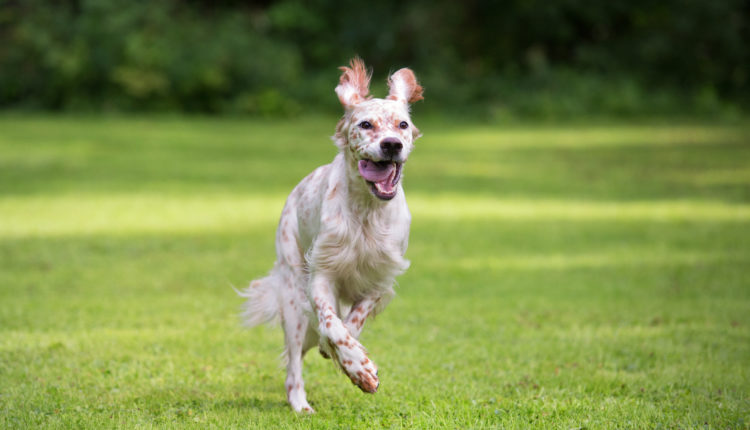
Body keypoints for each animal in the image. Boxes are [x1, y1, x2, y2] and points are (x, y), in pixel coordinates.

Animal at [241, 58, 426, 412]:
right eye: (365, 124)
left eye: (402, 125)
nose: (391, 145)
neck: (366, 212)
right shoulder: (321, 276)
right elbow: (331, 323)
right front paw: (358, 366)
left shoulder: (379, 279)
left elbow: (351, 322)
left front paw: (353, 362)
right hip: (292, 294)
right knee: (294, 364)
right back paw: (300, 404)